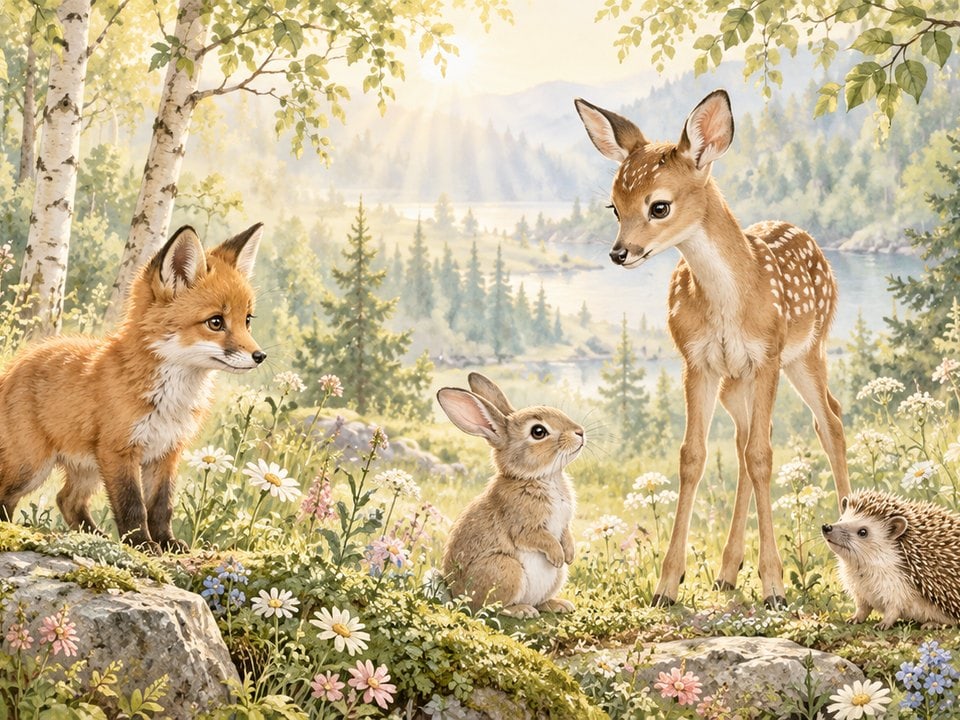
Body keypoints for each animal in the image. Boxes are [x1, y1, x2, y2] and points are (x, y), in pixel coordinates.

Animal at [0, 223, 266, 552]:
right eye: (216, 322)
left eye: (247, 320)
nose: (260, 356)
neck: (170, 399)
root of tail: (14, 366)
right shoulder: (120, 450)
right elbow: (132, 505)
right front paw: (142, 543)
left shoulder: (167, 451)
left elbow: (161, 506)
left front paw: (166, 542)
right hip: (32, 466)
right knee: (8, 494)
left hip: (88, 468)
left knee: (67, 500)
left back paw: (95, 537)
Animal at [436, 372, 585, 618]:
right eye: (538, 431)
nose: (580, 432)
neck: (539, 478)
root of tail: (458, 597)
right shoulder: (522, 525)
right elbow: (539, 538)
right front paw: (557, 556)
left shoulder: (564, 523)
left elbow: (566, 535)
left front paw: (570, 555)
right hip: (506, 569)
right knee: (491, 608)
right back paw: (522, 610)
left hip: (556, 577)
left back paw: (558, 605)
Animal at [574, 89, 850, 608]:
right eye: (614, 207)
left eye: (659, 206)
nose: (619, 253)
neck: (729, 299)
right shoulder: (695, 361)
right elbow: (693, 457)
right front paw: (667, 585)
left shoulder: (767, 356)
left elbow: (765, 456)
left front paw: (774, 586)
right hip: (733, 382)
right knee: (745, 443)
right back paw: (726, 572)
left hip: (807, 351)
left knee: (830, 422)